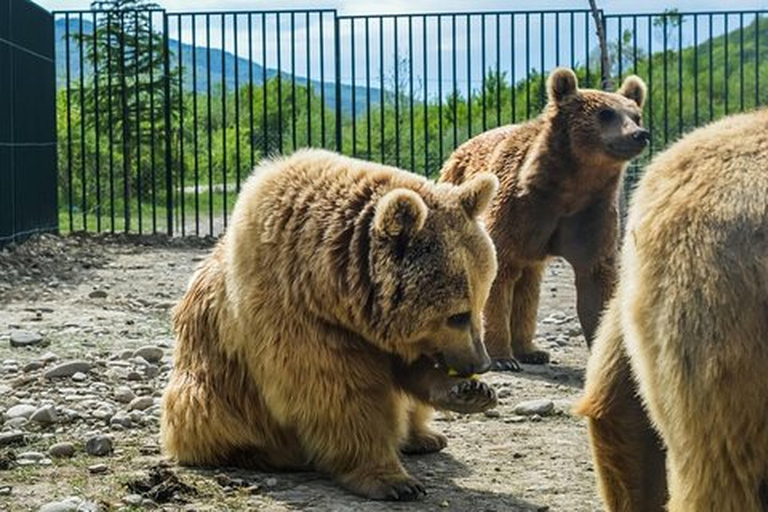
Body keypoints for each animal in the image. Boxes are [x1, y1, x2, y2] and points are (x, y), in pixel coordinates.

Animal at [161, 148, 501, 501]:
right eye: (457, 315)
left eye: (482, 299)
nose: (482, 362)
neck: (332, 287)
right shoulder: (298, 317)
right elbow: (341, 395)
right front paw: (394, 481)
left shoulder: (379, 330)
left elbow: (404, 372)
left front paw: (472, 392)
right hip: (215, 386)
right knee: (208, 415)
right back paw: (263, 454)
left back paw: (424, 436)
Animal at [438, 67, 649, 370]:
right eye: (606, 113)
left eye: (636, 115)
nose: (639, 134)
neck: (569, 187)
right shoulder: (516, 213)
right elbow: (498, 277)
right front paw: (502, 358)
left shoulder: (590, 214)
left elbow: (596, 282)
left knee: (528, 285)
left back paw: (531, 350)